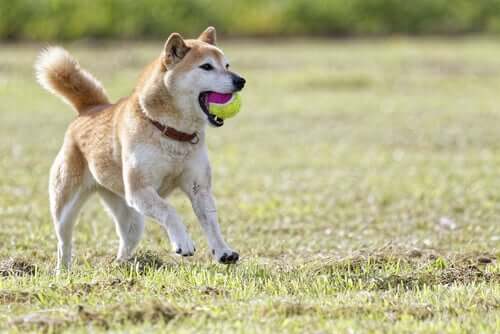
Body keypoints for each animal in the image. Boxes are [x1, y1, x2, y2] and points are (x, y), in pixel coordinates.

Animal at [35, 26, 246, 272]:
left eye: (227, 65)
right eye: (206, 66)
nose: (241, 80)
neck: (172, 132)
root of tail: (90, 109)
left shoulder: (199, 188)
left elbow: (211, 222)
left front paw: (223, 251)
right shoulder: (140, 189)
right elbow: (169, 210)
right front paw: (183, 242)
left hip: (131, 214)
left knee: (126, 240)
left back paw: (122, 265)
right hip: (66, 207)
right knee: (64, 241)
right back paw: (63, 270)